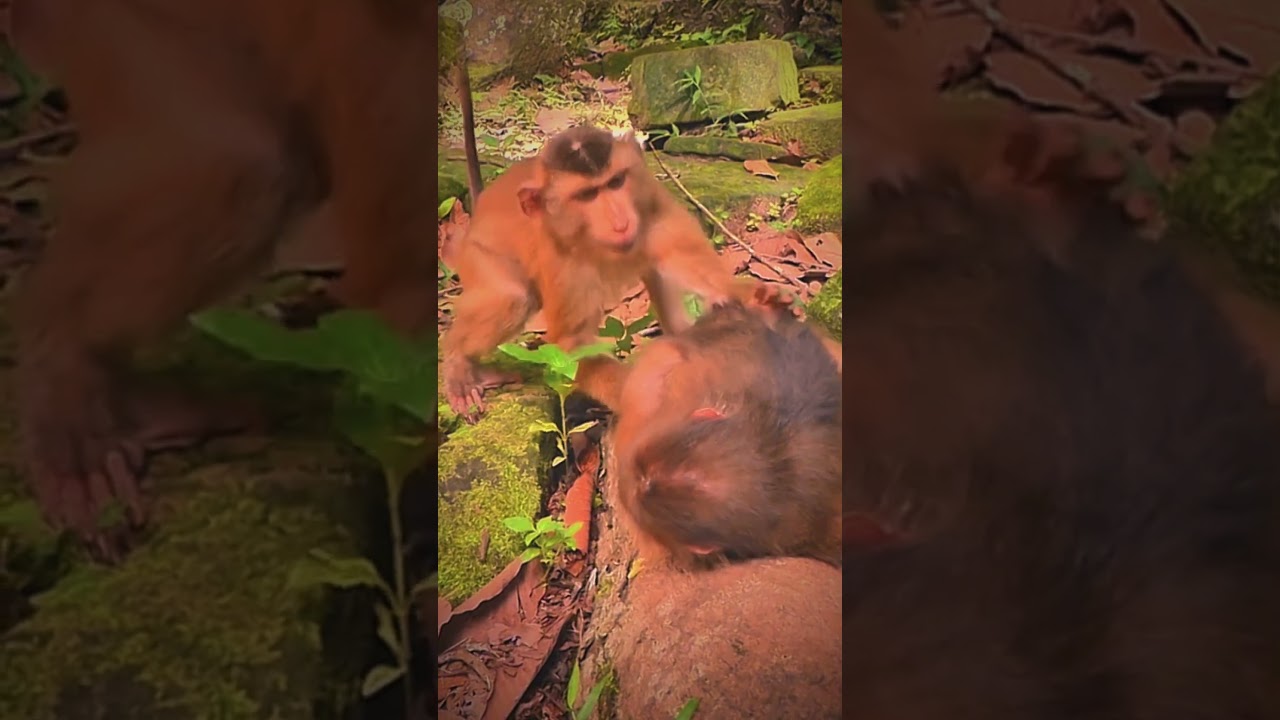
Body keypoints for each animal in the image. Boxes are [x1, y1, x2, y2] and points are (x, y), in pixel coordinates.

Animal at [440, 122, 768, 422]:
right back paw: (458, 363)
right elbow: (573, 345)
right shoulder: (562, 259)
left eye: (616, 182)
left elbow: (678, 254)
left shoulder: (649, 199)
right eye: (587, 195)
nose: (621, 223)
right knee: (513, 298)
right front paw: (654, 406)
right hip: (480, 257)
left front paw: (744, 294)